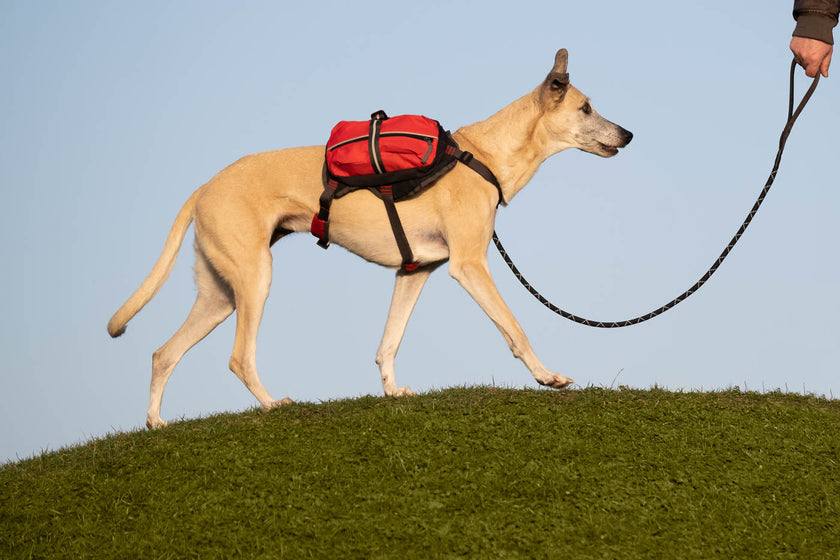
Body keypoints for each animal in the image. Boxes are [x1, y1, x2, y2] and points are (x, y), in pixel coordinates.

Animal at [106, 49, 632, 428]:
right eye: (586, 107)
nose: (628, 134)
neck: (482, 155)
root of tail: (203, 188)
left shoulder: (414, 270)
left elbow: (388, 342)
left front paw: (392, 391)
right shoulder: (470, 265)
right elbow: (515, 328)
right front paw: (547, 377)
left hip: (220, 294)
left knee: (163, 353)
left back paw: (155, 424)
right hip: (254, 280)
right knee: (238, 358)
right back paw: (274, 406)